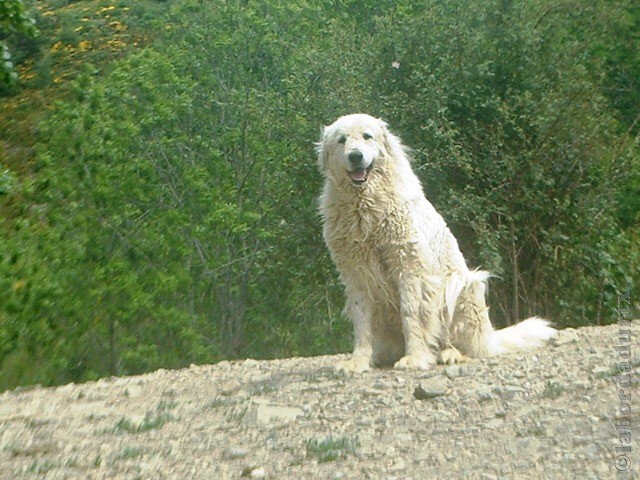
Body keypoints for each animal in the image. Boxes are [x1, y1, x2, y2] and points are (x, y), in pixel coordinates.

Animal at [318, 114, 556, 374]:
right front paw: (357, 362)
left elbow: (411, 314)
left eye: (367, 136)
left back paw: (449, 354)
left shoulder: (409, 269)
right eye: (342, 140)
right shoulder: (357, 275)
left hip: (461, 284)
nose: (355, 156)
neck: (365, 206)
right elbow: (361, 322)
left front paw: (415, 357)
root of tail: (489, 338)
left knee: (464, 343)